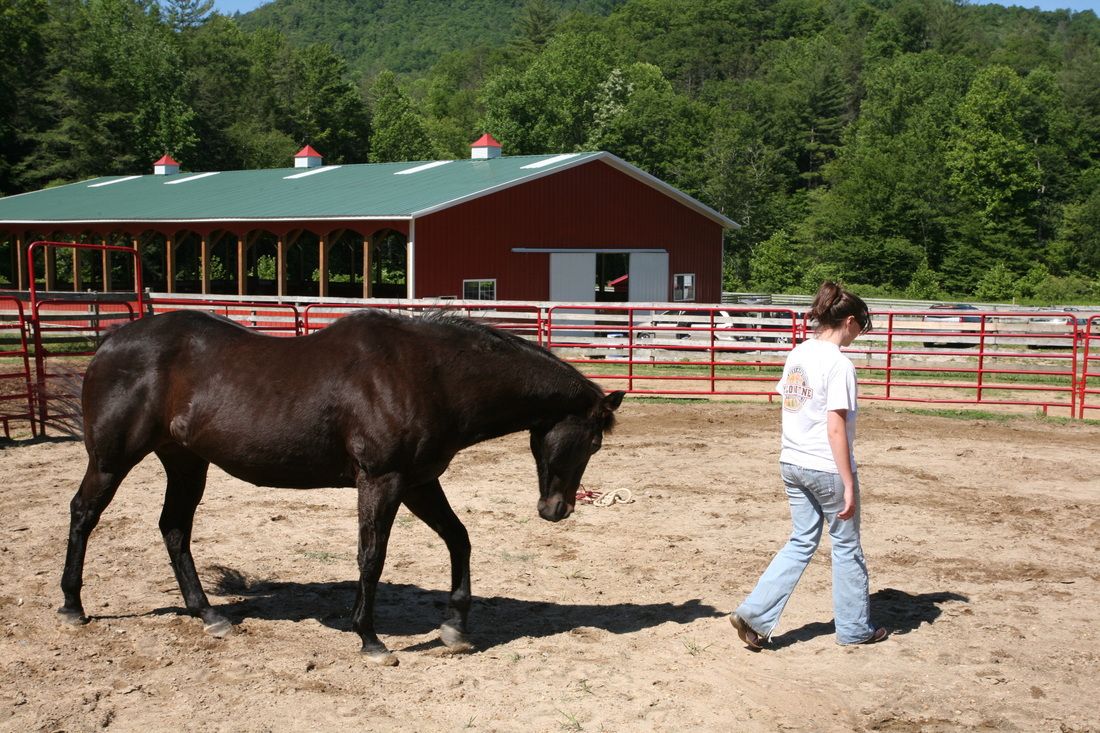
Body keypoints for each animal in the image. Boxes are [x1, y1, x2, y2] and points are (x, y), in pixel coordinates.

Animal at [60, 308, 624, 660]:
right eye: (594, 442)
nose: (557, 509)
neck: (430, 374)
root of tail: (110, 342)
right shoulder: (382, 481)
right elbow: (371, 557)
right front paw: (370, 639)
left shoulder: (419, 483)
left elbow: (459, 540)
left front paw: (456, 627)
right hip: (112, 460)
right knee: (84, 514)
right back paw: (72, 607)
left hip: (185, 462)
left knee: (174, 529)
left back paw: (209, 615)